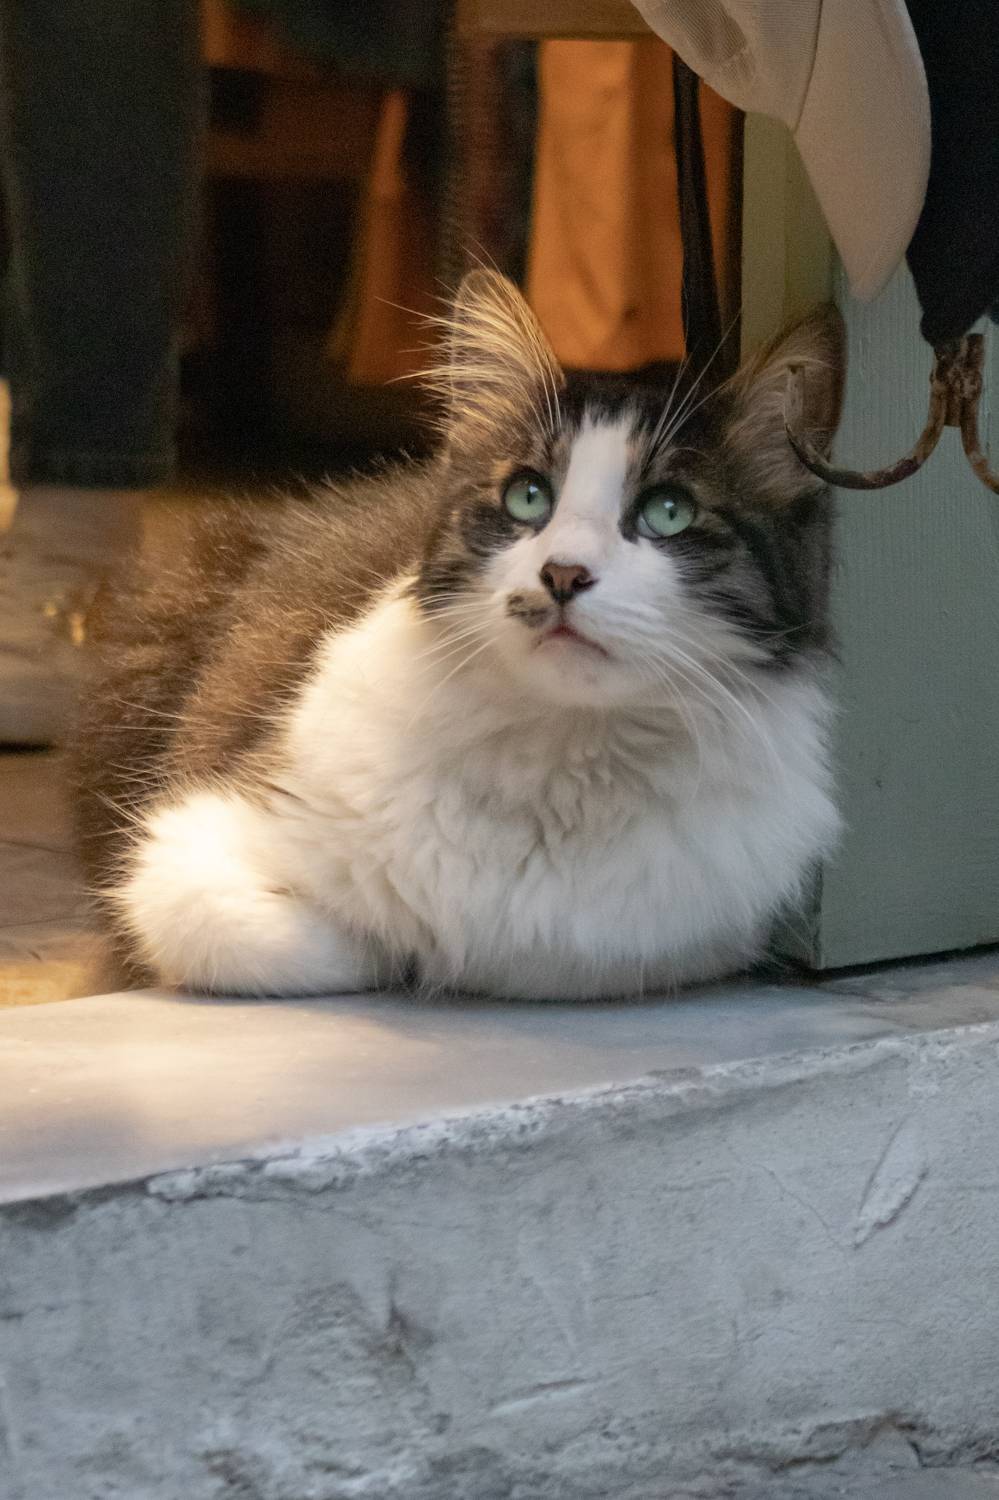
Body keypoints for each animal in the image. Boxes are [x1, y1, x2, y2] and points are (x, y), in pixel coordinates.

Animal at [74, 270, 844, 1000]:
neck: (563, 749)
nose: (563, 574)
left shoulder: (681, 937)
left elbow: (538, 955)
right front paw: (403, 945)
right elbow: (330, 944)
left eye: (669, 512)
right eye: (527, 497)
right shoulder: (183, 851)